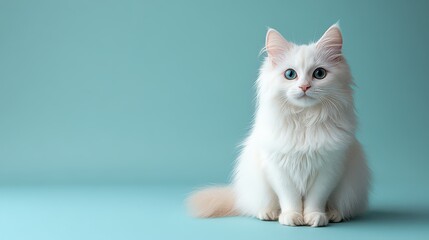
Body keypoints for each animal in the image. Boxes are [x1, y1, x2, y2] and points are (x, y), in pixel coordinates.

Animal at [186, 23, 370, 227]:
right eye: (290, 74)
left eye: (319, 74)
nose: (304, 87)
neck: (304, 120)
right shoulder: (278, 168)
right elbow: (290, 198)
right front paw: (292, 217)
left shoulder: (330, 168)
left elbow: (316, 199)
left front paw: (315, 217)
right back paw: (269, 213)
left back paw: (333, 214)